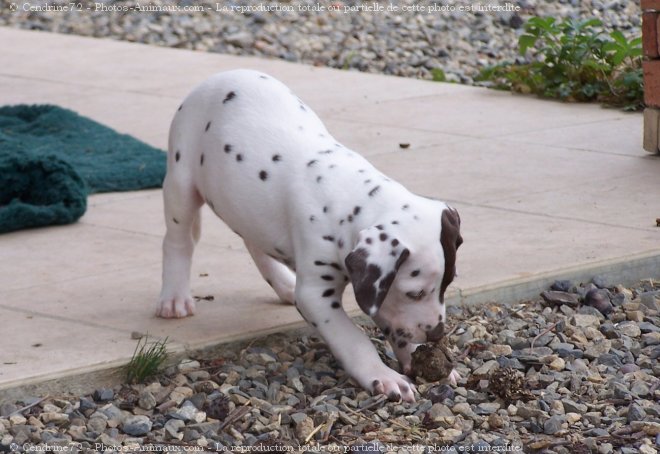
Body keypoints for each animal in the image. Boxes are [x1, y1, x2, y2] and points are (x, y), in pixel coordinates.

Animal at [157, 69, 462, 402]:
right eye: (415, 293)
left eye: (448, 284)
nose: (437, 333)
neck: (350, 199)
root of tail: (223, 74)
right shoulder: (317, 294)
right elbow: (353, 338)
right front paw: (383, 376)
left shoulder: (374, 292)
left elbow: (396, 322)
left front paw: (419, 358)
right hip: (181, 183)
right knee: (177, 241)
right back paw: (174, 298)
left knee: (254, 241)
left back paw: (284, 284)